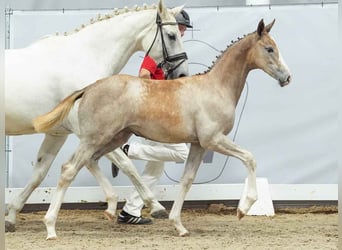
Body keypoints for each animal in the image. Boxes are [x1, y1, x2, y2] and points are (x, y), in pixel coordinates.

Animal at [34, 19, 292, 238]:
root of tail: (89, 87)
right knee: (69, 169)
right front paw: (243, 208)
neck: (215, 88)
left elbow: (187, 180)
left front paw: (179, 226)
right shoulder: (213, 140)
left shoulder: (198, 145)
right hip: (95, 138)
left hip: (114, 137)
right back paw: (51, 228)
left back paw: (111, 207)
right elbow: (250, 158)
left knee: (91, 161)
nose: (287, 77)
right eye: (269, 48)